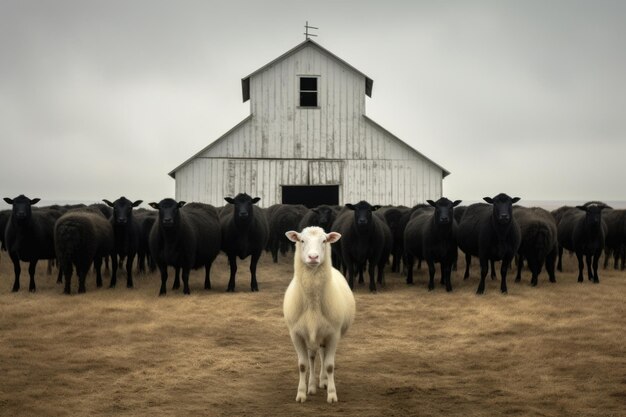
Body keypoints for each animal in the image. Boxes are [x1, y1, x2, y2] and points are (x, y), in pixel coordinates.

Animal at [282, 224, 354, 404]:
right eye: (302, 240)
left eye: (324, 241)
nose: (313, 257)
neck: (313, 303)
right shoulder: (296, 334)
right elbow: (303, 365)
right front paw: (301, 393)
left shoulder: (333, 334)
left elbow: (329, 365)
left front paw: (332, 394)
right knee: (313, 357)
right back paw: (312, 386)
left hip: (324, 335)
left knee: (321, 355)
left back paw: (323, 381)